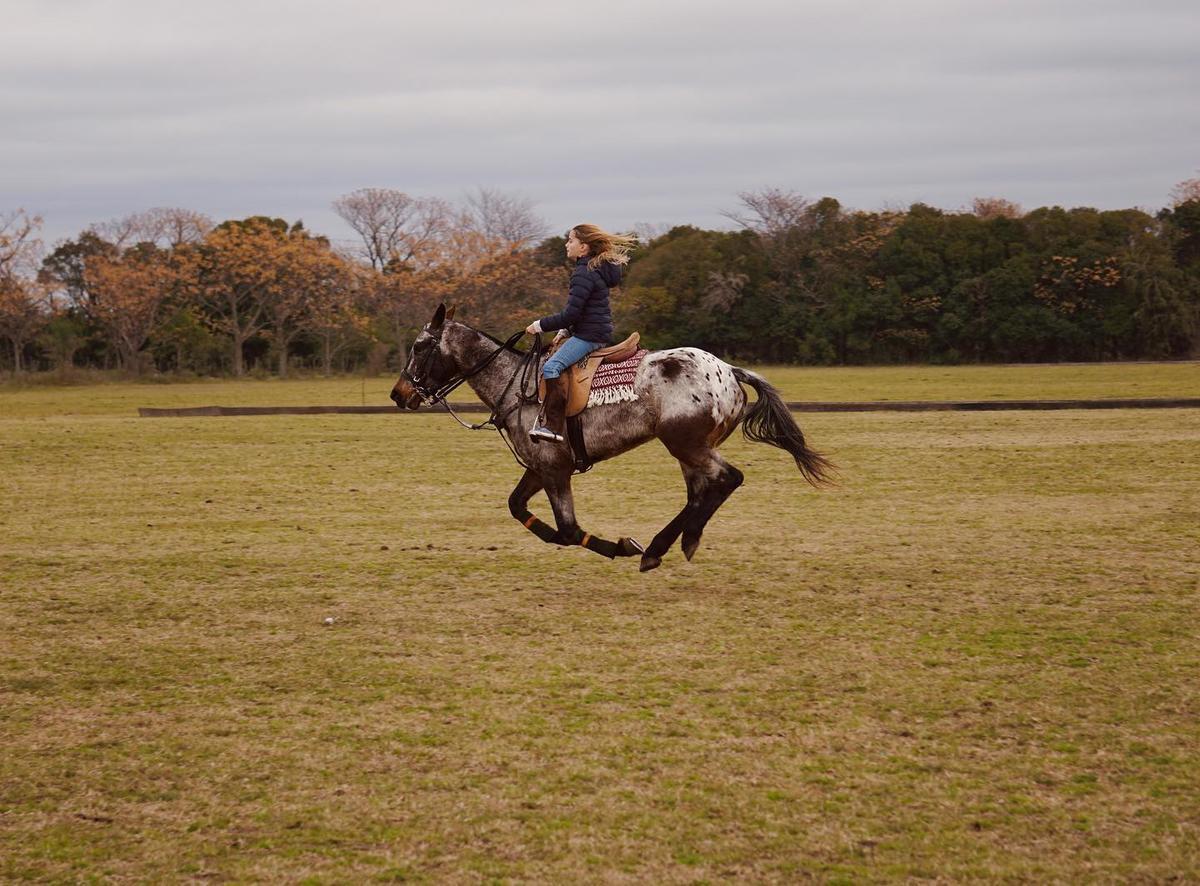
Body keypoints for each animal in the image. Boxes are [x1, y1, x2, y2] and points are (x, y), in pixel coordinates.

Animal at [393, 300, 835, 569]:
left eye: (419, 346)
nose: (398, 394)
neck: (514, 385)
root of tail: (729, 370)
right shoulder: (540, 468)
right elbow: (519, 508)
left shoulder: (555, 470)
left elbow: (568, 530)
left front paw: (621, 546)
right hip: (690, 447)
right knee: (701, 491)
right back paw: (670, 545)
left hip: (684, 441)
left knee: (728, 479)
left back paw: (665, 545)